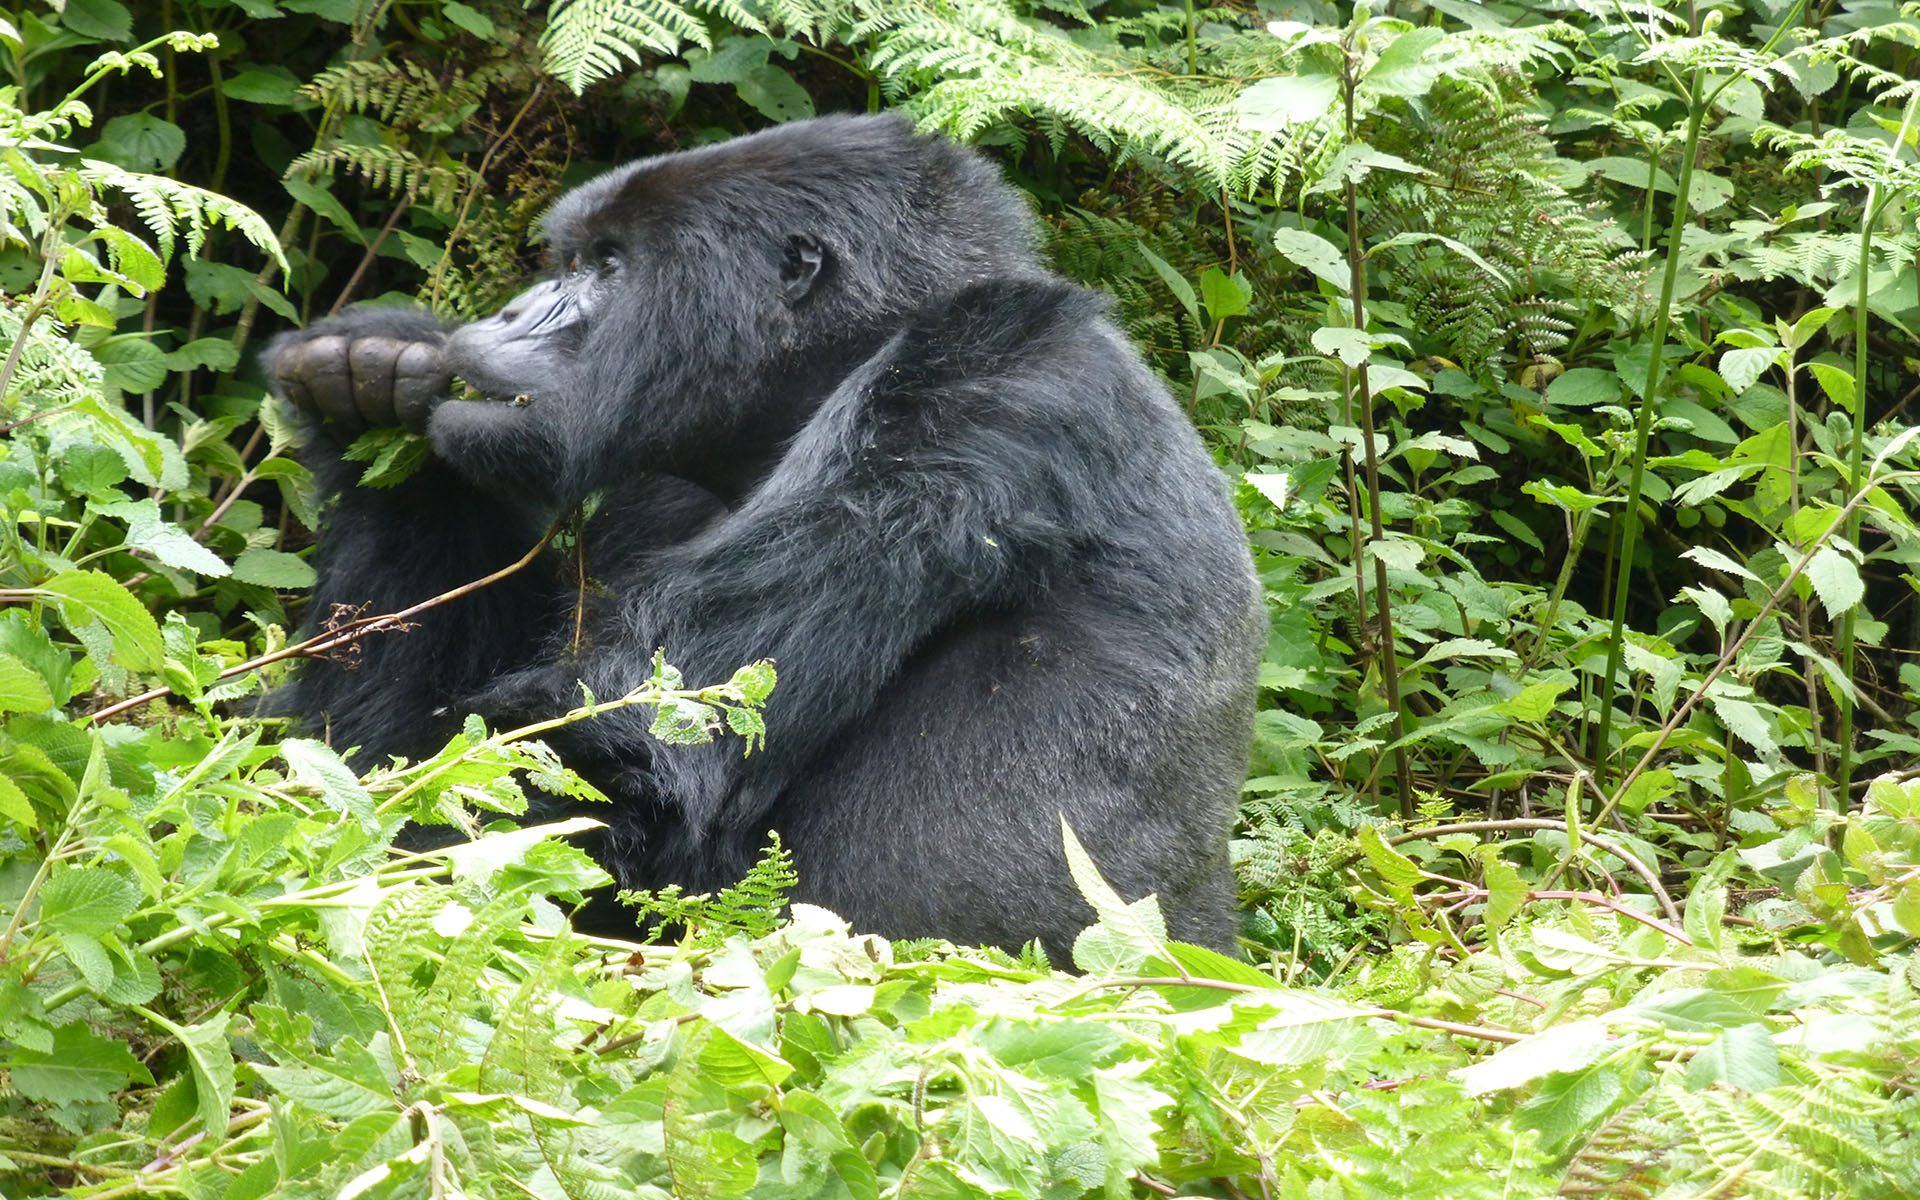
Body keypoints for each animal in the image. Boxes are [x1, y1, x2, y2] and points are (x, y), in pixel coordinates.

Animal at [266, 112, 1259, 956]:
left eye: (609, 268)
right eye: (573, 259)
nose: (510, 314)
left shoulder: (975, 388)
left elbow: (618, 761)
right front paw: (368, 380)